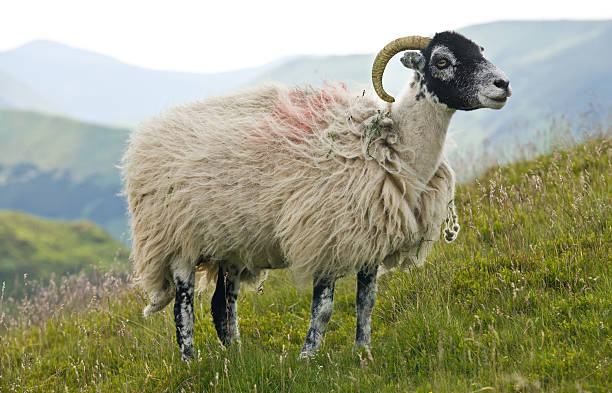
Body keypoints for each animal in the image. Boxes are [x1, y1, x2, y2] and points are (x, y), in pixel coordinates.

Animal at [120, 32, 512, 360]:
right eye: (442, 61)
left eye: (480, 51)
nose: (503, 84)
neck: (394, 147)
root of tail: (147, 133)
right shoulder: (327, 235)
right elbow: (323, 309)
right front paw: (307, 358)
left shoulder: (370, 240)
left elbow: (366, 302)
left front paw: (363, 353)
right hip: (175, 240)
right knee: (182, 307)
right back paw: (191, 361)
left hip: (231, 245)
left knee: (223, 304)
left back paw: (237, 358)